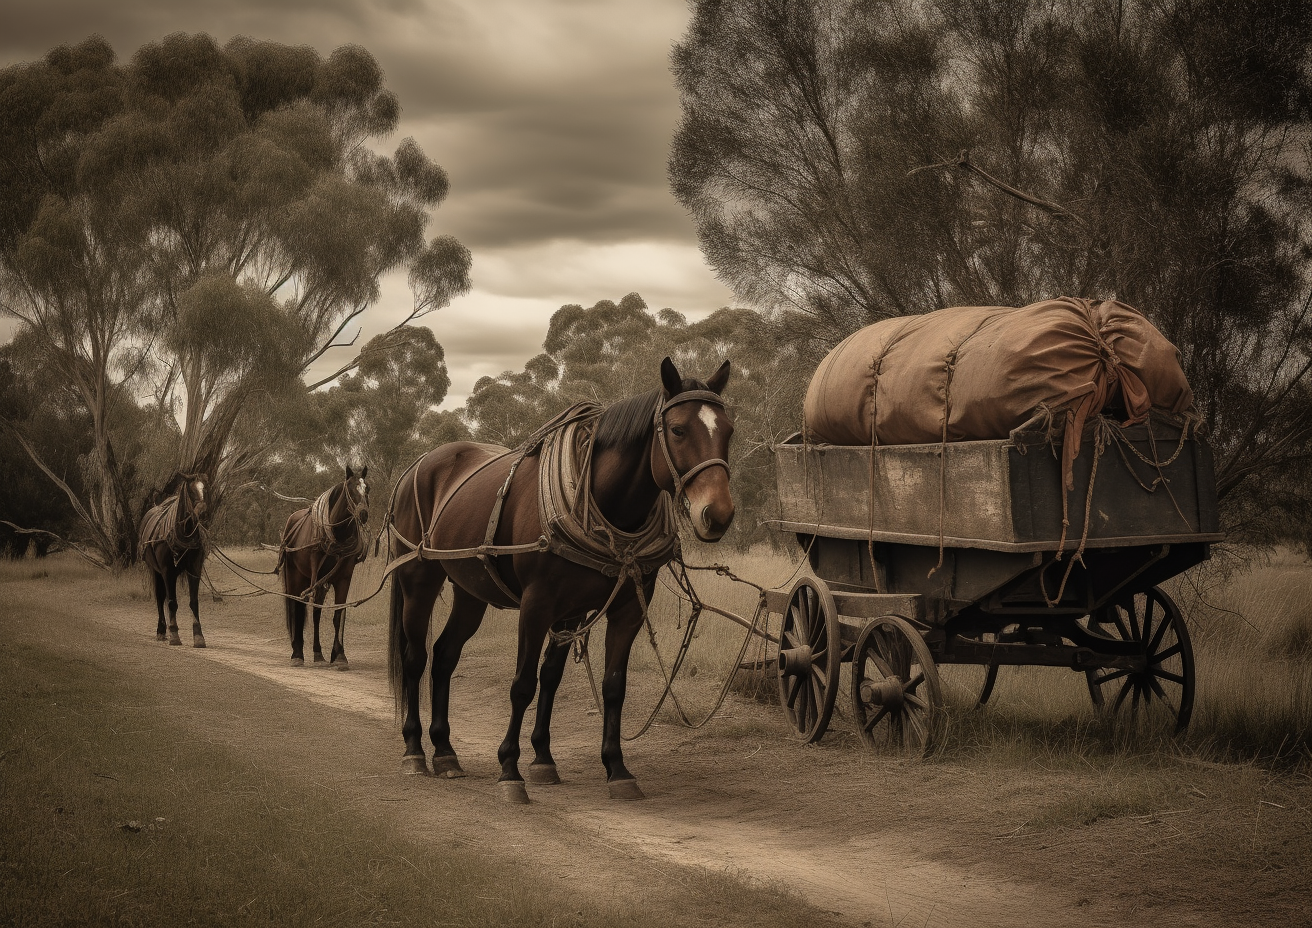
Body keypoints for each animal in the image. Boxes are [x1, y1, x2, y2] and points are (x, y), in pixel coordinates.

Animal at [140, 475, 209, 651]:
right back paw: (161, 631)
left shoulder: (195, 570)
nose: (203, 512)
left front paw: (199, 637)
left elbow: (194, 602)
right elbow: (171, 603)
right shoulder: (167, 572)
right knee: (160, 597)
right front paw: (174, 635)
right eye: (190, 491)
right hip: (155, 571)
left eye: (205, 488)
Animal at [276, 467, 369, 672]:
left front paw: (339, 655)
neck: (338, 537)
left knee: (315, 612)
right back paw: (297, 653)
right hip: (296, 576)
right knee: (297, 607)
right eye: (351, 489)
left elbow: (338, 615)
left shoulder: (343, 579)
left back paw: (318, 654)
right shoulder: (314, 578)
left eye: (368, 489)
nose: (363, 514)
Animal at [383, 359, 739, 803]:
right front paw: (510, 770)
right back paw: (415, 749)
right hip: (419, 580)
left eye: (728, 430)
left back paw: (445, 751)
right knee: (416, 657)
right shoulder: (537, 606)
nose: (718, 514)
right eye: (677, 430)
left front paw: (596, 766)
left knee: (445, 655)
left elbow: (596, 684)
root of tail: (418, 464)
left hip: (470, 592)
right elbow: (523, 684)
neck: (606, 502)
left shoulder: (612, 609)